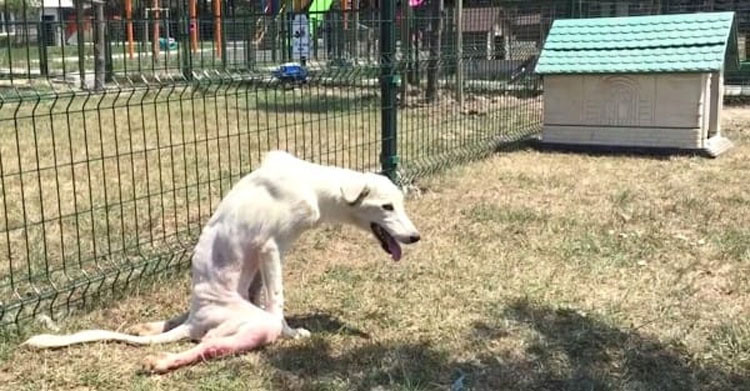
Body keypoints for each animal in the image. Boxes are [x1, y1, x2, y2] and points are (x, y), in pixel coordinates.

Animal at [20, 150, 424, 374]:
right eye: (387, 207)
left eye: (401, 204)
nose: (415, 237)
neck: (312, 183)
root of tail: (198, 319)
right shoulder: (270, 248)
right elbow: (277, 302)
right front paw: (292, 333)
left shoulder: (263, 259)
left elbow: (263, 292)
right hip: (253, 326)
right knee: (210, 345)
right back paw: (163, 362)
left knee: (191, 332)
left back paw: (153, 329)